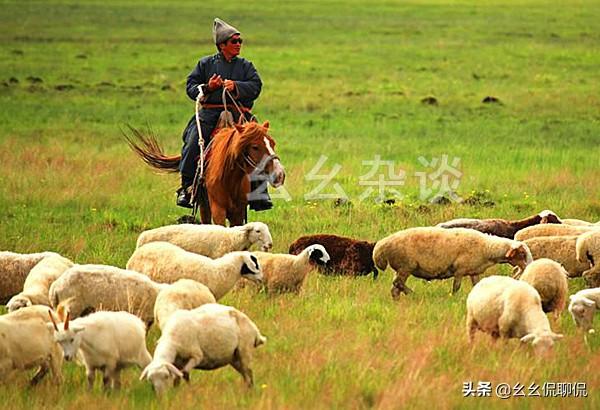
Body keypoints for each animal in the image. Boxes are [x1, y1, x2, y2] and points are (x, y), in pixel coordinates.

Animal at [125, 120, 284, 226]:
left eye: (272, 143)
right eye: (255, 147)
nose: (280, 174)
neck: (230, 178)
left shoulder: (238, 212)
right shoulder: (218, 209)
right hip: (203, 205)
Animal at [372, 227, 532, 298]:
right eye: (522, 254)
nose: (530, 266)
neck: (487, 248)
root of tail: (381, 247)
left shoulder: (474, 271)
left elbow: (476, 285)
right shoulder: (460, 270)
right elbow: (456, 286)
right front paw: (453, 297)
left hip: (400, 268)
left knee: (394, 287)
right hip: (406, 266)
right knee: (397, 283)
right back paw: (412, 293)